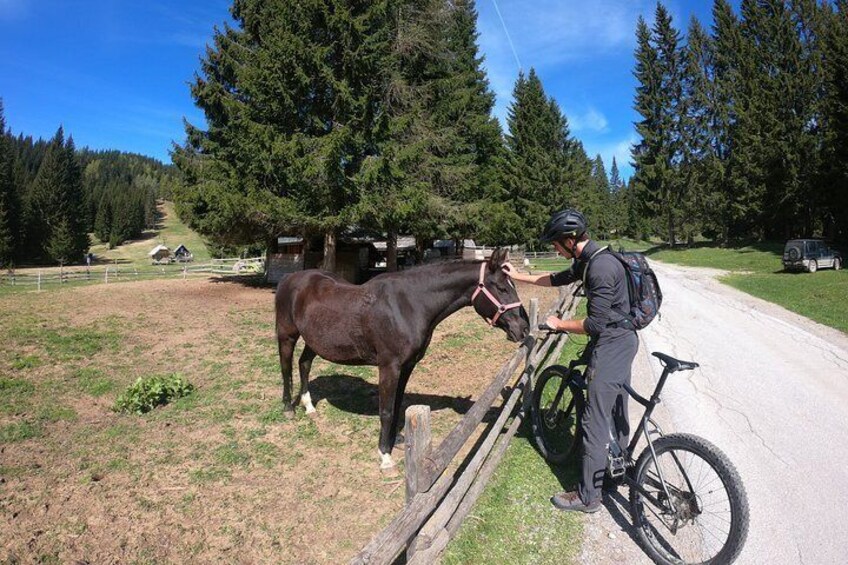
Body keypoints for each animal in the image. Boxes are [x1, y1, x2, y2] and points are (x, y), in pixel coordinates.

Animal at [274, 247, 528, 468]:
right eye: (502, 288)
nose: (523, 329)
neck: (409, 305)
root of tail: (289, 279)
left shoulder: (407, 366)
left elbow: (397, 405)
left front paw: (395, 440)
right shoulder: (389, 367)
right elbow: (386, 410)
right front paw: (384, 455)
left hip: (314, 341)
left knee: (304, 363)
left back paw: (309, 406)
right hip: (287, 336)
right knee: (286, 368)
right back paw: (288, 408)